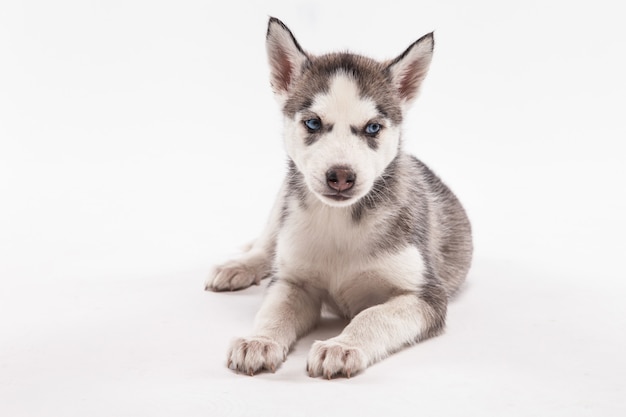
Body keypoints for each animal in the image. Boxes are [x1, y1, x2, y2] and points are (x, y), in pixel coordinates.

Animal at [207, 17, 470, 378]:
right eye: (312, 123)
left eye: (373, 128)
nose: (342, 176)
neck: (339, 221)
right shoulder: (293, 281)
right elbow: (274, 310)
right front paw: (259, 340)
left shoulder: (424, 295)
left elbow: (373, 316)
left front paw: (341, 346)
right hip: (284, 196)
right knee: (268, 244)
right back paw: (240, 265)